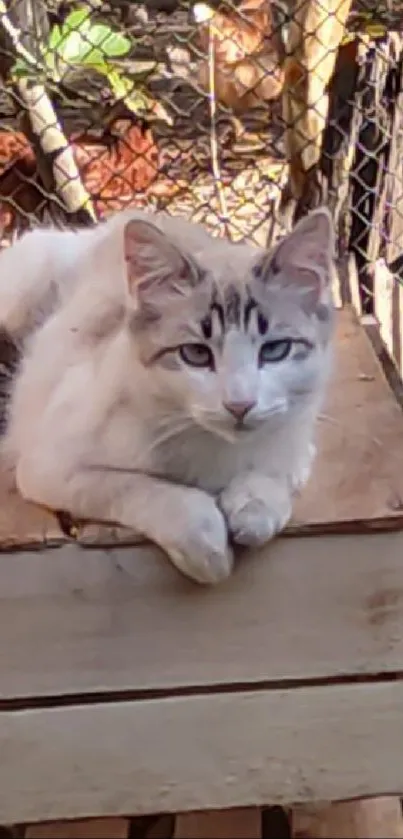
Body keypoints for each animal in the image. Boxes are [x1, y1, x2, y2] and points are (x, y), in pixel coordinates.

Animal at [0, 205, 336, 584]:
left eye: (275, 350)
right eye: (196, 354)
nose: (240, 405)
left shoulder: (298, 434)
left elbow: (281, 471)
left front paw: (255, 506)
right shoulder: (47, 465)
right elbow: (138, 488)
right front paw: (205, 541)